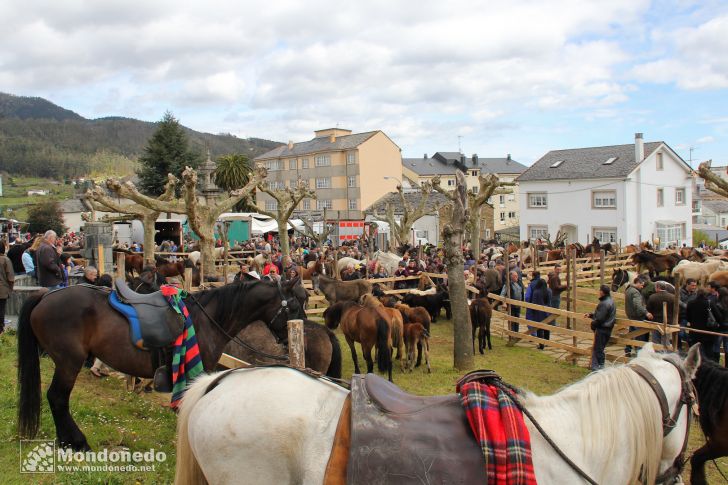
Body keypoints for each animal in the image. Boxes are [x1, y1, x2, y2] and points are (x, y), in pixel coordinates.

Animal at [17, 276, 308, 450]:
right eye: (294, 306)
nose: (303, 333)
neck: (207, 318)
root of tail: (45, 295)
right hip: (69, 362)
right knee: (57, 398)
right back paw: (75, 441)